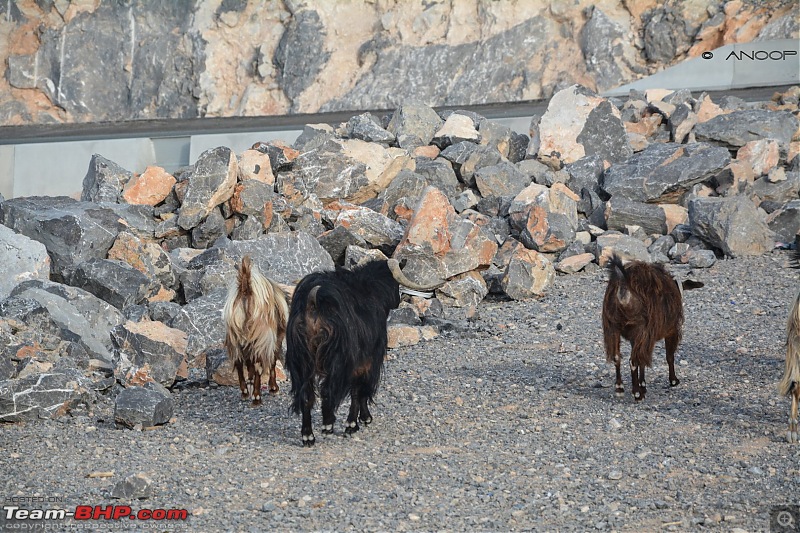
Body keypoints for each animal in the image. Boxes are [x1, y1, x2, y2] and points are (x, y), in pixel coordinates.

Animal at [223, 256, 290, 406]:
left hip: (235, 337)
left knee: (239, 362)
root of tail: (246, 289)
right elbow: (272, 361)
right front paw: (273, 388)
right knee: (259, 364)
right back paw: (257, 397)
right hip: (262, 337)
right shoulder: (274, 340)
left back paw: (245, 392)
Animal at [286, 258, 438, 444]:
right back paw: (327, 425)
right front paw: (356, 423)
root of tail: (312, 302)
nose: (399, 300)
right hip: (337, 359)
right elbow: (359, 390)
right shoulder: (368, 359)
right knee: (328, 390)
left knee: (306, 395)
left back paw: (308, 436)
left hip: (301, 360)